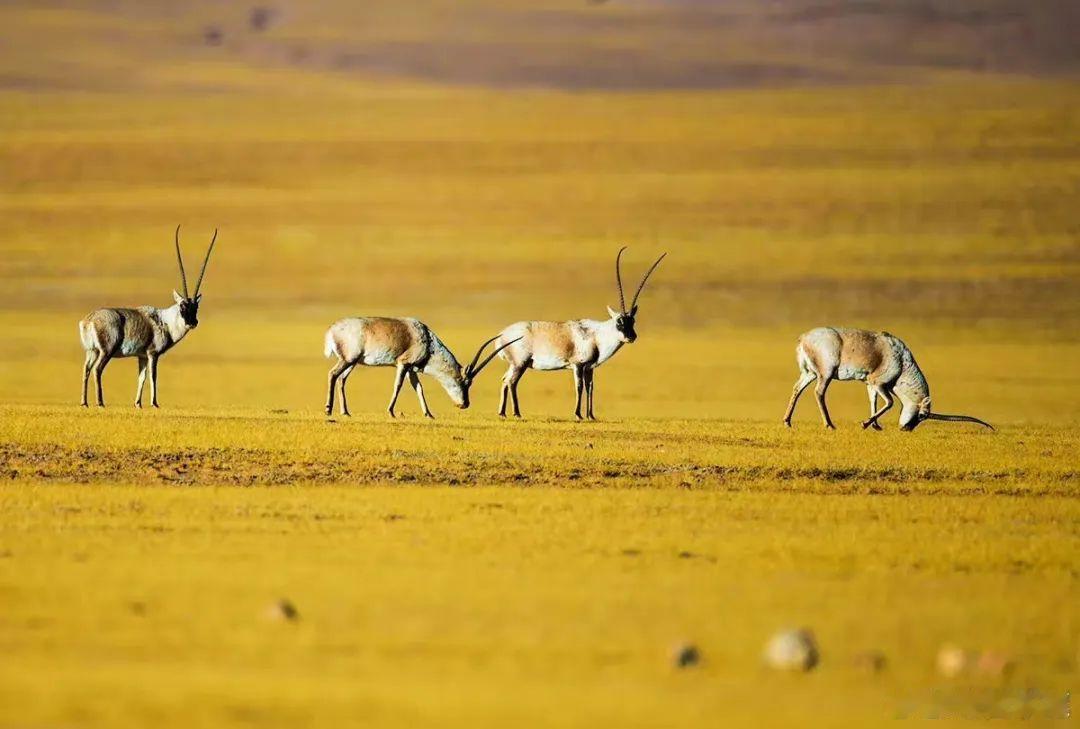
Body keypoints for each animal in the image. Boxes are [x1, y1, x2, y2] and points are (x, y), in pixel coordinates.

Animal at [78, 225, 219, 408]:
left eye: (196, 306)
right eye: (182, 306)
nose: (192, 322)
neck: (165, 321)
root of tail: (89, 320)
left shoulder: (142, 356)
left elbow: (141, 378)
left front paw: (138, 403)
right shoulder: (153, 354)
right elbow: (153, 377)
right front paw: (154, 403)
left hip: (92, 351)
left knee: (86, 369)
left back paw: (84, 402)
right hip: (106, 351)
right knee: (97, 369)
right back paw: (100, 402)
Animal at [321, 317, 520, 419]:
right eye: (465, 382)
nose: (464, 404)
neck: (428, 340)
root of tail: (331, 329)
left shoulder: (411, 369)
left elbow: (419, 389)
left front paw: (428, 414)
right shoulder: (403, 363)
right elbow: (398, 386)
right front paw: (391, 412)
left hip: (353, 362)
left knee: (341, 379)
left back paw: (345, 412)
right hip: (349, 359)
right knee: (332, 374)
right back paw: (328, 409)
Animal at [492, 245, 660, 419]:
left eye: (632, 321)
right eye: (619, 322)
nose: (631, 336)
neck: (596, 335)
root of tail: (501, 335)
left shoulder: (590, 368)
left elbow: (590, 387)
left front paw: (591, 416)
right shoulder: (578, 365)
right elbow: (579, 387)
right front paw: (578, 414)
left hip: (515, 364)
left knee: (505, 380)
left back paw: (502, 413)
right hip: (521, 363)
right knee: (512, 382)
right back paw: (516, 413)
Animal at [781, 326, 989, 434]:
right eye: (922, 415)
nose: (906, 429)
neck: (902, 361)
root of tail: (803, 339)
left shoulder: (870, 384)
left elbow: (873, 401)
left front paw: (876, 425)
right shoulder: (880, 384)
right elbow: (889, 402)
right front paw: (865, 424)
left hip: (809, 373)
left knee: (797, 389)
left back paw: (787, 422)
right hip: (826, 373)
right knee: (819, 392)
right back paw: (829, 425)